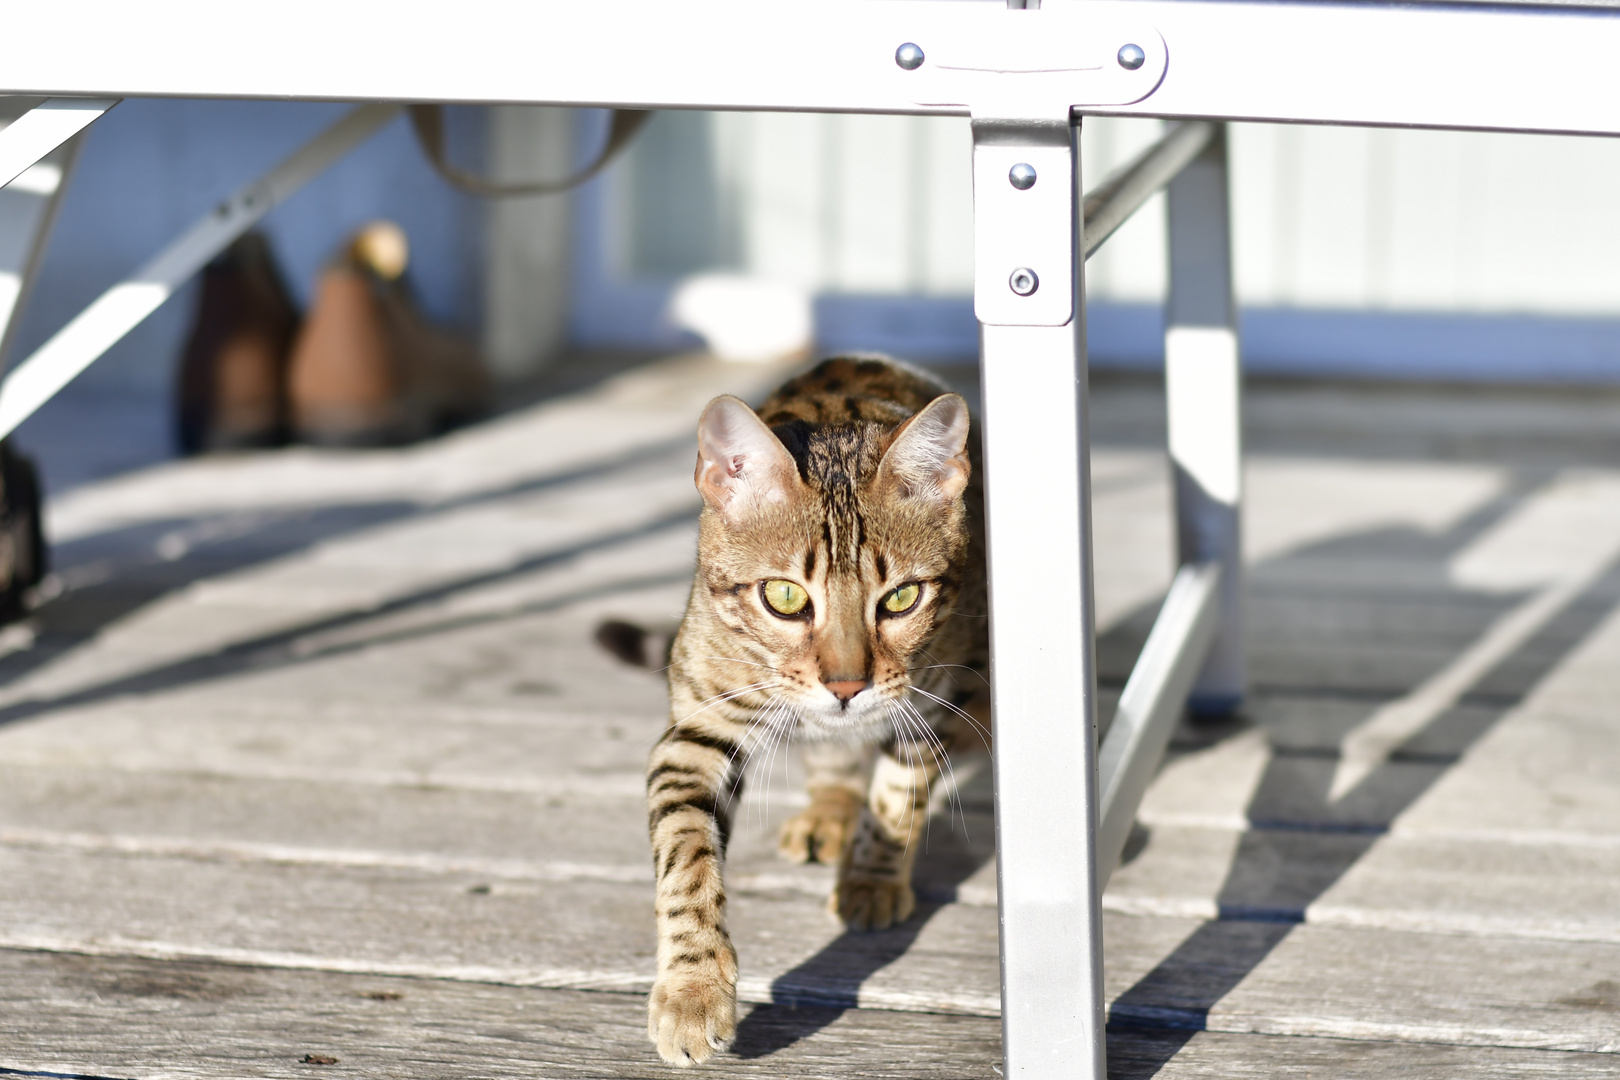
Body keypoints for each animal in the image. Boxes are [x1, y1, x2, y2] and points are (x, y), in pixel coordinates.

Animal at [638, 359, 978, 1068]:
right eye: (785, 597)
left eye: (901, 598)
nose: (847, 685)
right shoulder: (695, 731)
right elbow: (685, 853)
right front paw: (693, 989)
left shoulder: (931, 698)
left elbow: (897, 795)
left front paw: (872, 878)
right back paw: (827, 811)